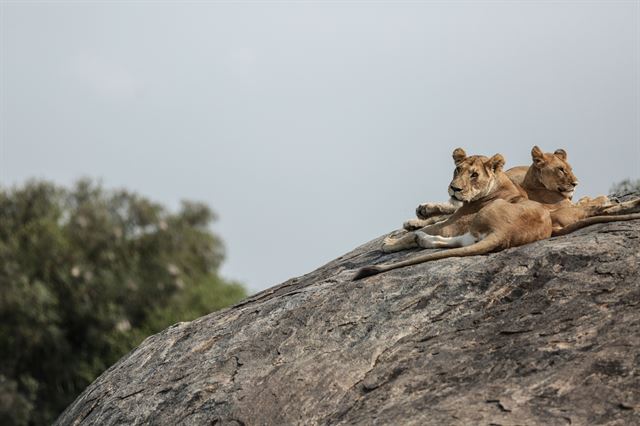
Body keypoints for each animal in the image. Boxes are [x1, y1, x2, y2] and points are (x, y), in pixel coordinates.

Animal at [352, 148, 636, 282]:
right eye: (457, 170)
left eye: (474, 174)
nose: (454, 188)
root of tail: (505, 233)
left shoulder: (454, 222)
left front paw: (391, 243)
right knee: (459, 235)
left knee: (456, 238)